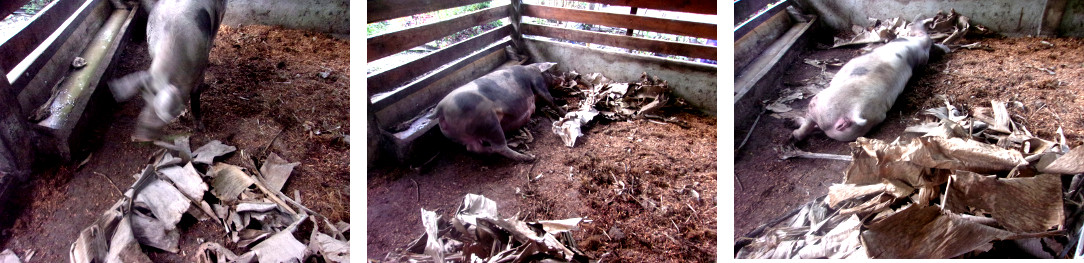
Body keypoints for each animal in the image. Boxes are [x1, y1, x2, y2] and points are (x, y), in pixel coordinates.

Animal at [108, 0, 226, 141]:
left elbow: (196, 98)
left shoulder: (200, 70)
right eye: (145, 100)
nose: (140, 137)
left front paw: (200, 128)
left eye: (160, 112)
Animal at [431, 62, 568, 161]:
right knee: (499, 147)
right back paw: (529, 157)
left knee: (473, 148)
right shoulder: (537, 81)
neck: (531, 68)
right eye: (549, 72)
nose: (562, 77)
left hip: (465, 136)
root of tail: (440, 109)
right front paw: (565, 113)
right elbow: (549, 100)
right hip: (489, 123)